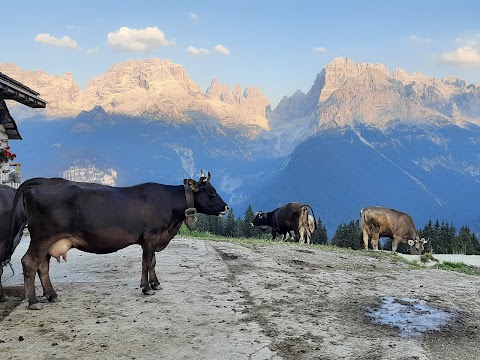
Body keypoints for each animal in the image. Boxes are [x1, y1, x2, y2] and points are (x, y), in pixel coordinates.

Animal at [11, 173, 228, 308]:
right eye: (212, 192)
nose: (226, 207)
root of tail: (44, 181)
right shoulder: (150, 236)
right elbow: (146, 262)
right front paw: (146, 288)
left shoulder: (154, 238)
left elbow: (153, 262)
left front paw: (155, 283)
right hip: (42, 236)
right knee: (29, 262)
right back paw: (33, 301)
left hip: (50, 240)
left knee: (43, 265)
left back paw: (51, 295)